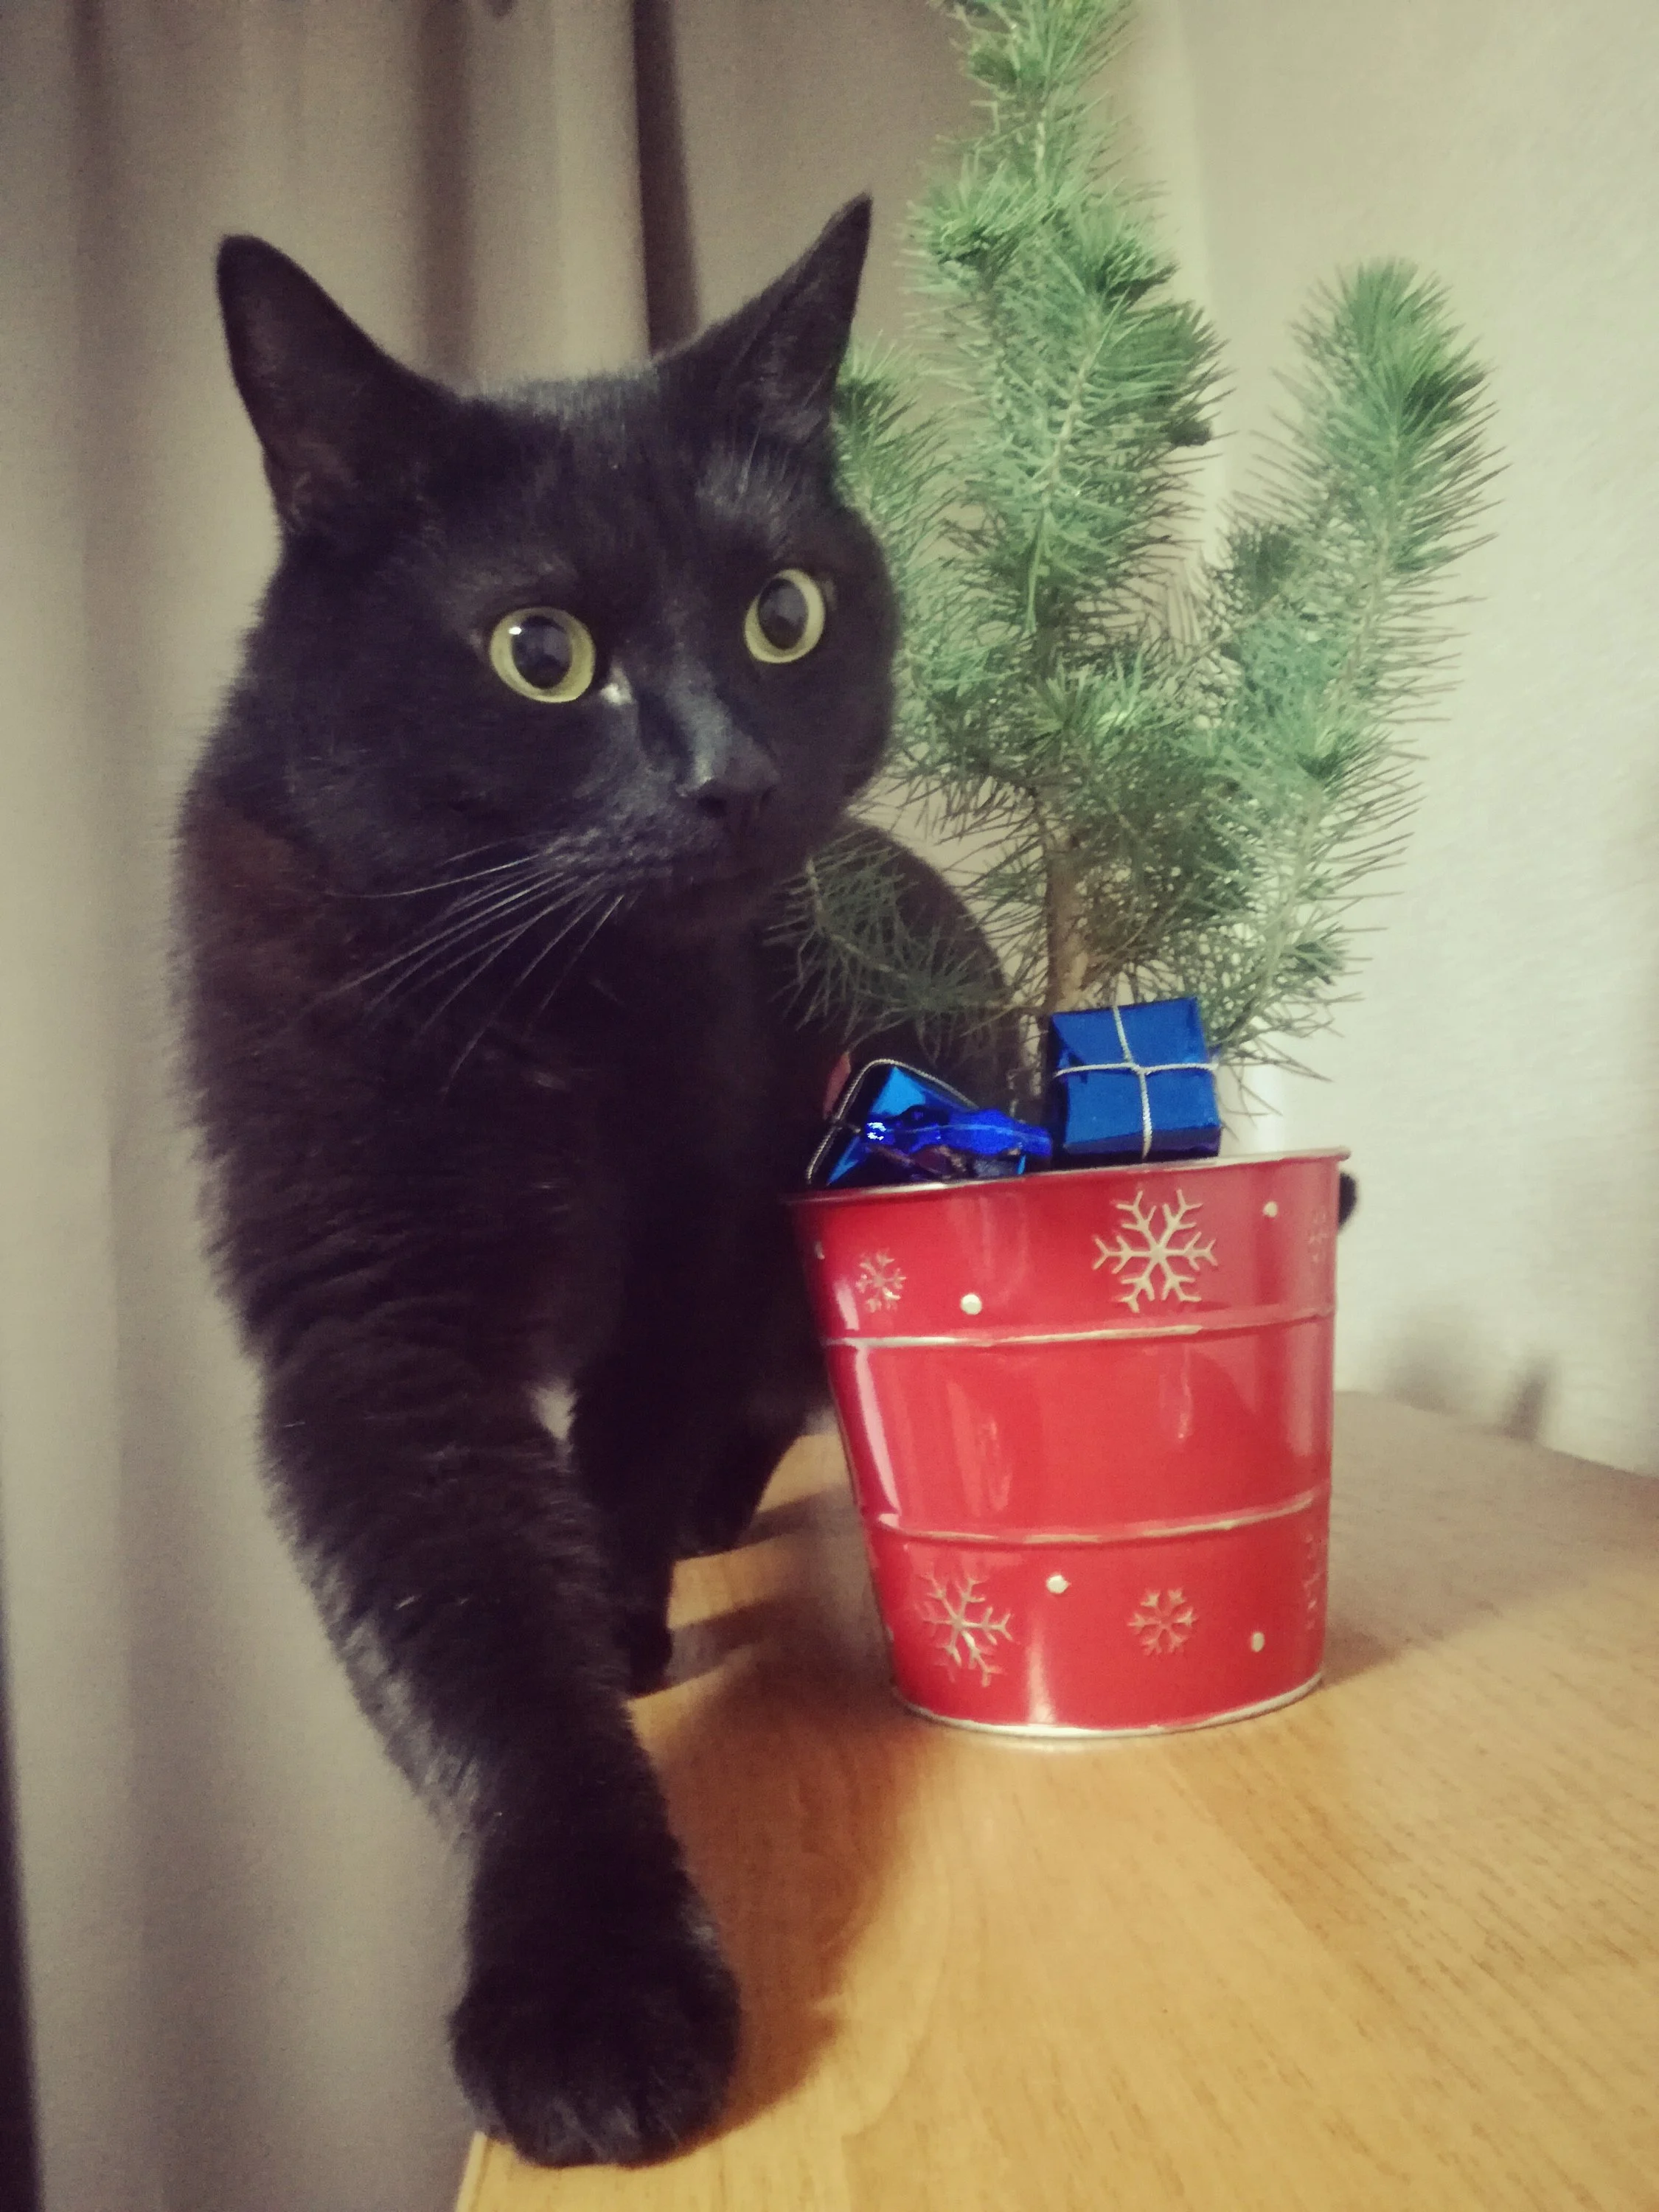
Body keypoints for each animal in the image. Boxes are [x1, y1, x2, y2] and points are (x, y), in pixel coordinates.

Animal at [178, 197, 1011, 2168]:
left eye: (782, 613)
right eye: (538, 653)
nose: (730, 775)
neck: (534, 1012)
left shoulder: (694, 1237)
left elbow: (617, 1473)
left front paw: (624, 1626)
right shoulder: (368, 1337)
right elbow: (481, 1659)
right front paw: (588, 1993)